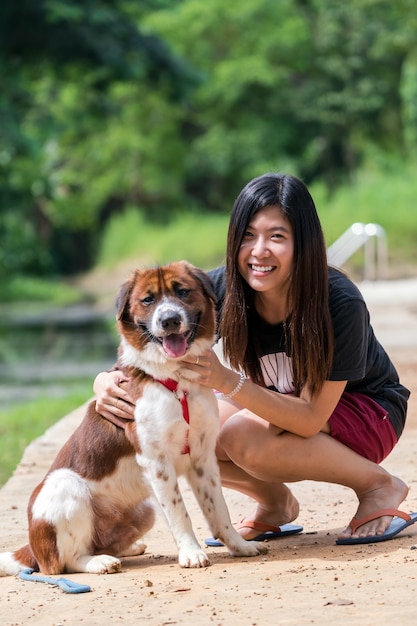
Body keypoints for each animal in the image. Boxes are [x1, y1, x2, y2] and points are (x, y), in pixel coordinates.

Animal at [0, 260, 266, 572]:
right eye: (148, 300)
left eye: (182, 292)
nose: (169, 320)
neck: (175, 380)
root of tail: (31, 548)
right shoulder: (156, 461)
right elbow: (179, 511)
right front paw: (191, 552)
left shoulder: (203, 456)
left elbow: (218, 510)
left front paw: (239, 545)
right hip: (65, 485)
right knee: (67, 560)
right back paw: (99, 562)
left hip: (146, 509)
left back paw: (128, 549)